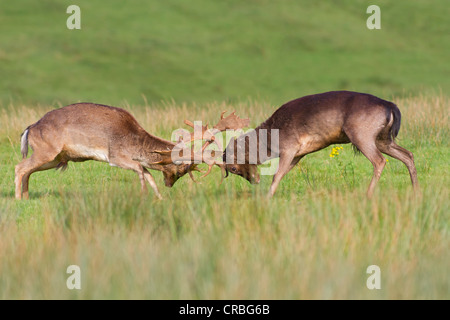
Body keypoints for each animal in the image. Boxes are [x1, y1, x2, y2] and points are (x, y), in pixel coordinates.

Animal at [14, 102, 197, 199]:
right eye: (181, 170)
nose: (169, 185)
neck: (133, 141)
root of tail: (30, 129)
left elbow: (147, 173)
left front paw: (159, 197)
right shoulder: (115, 156)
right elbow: (141, 169)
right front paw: (144, 194)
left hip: (54, 158)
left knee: (27, 170)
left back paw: (26, 197)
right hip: (46, 151)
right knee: (19, 167)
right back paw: (17, 198)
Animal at [221, 89, 418, 198]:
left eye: (233, 168)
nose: (255, 181)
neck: (270, 141)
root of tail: (391, 107)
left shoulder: (289, 146)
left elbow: (277, 174)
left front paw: (267, 197)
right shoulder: (298, 154)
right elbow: (283, 173)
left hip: (362, 134)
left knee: (379, 160)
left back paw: (368, 194)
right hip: (383, 138)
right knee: (408, 154)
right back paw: (416, 190)